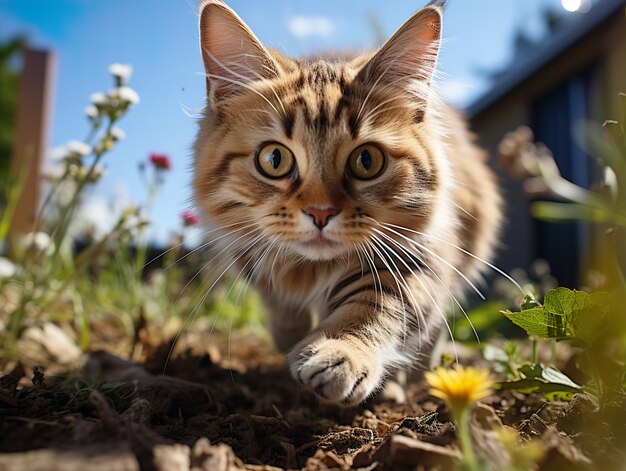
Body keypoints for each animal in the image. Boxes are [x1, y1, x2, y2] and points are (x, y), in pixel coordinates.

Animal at [193, 0, 500, 406]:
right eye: (274, 159)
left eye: (367, 161)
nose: (320, 212)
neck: (309, 271)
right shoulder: (254, 258)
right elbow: (282, 311)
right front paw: (292, 341)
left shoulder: (412, 261)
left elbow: (369, 310)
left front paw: (338, 353)